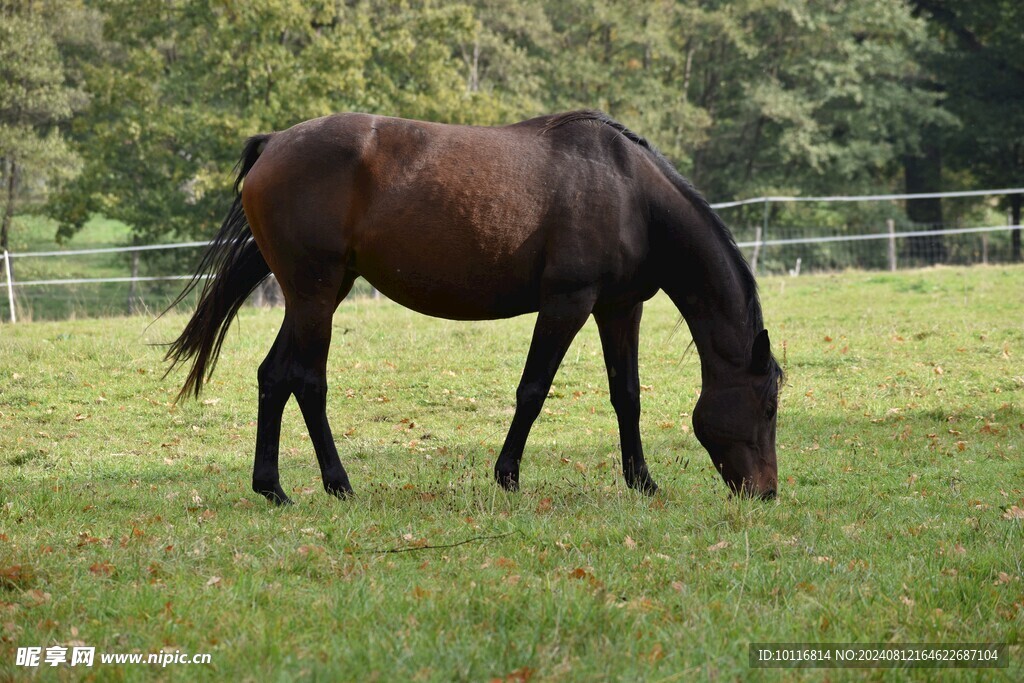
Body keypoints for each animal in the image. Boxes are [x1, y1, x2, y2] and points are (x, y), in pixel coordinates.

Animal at [163, 112, 778, 505]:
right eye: (769, 406)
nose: (766, 493)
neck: (630, 193)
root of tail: (273, 144)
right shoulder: (568, 302)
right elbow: (532, 391)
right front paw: (507, 477)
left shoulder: (620, 308)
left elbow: (626, 396)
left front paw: (642, 482)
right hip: (315, 294)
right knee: (308, 381)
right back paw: (339, 485)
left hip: (316, 293)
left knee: (275, 376)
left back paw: (272, 487)